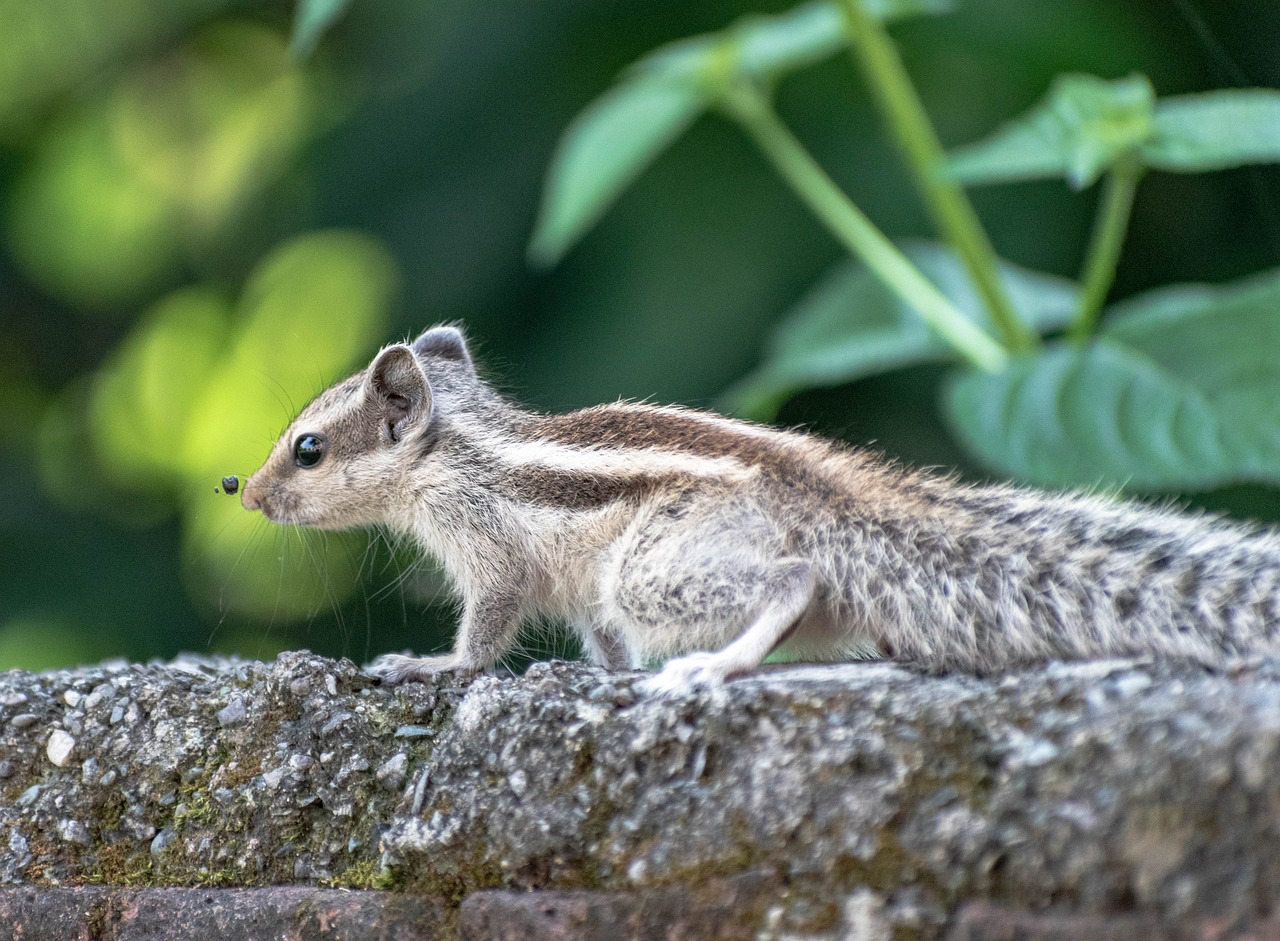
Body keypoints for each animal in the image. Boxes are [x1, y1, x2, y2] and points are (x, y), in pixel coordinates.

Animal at [238, 323, 1280, 691]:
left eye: (307, 447)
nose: (240, 492)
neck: (453, 448)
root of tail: (829, 497)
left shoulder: (489, 549)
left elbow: (485, 630)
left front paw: (428, 665)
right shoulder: (581, 593)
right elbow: (599, 639)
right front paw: (604, 675)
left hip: (660, 570)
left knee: (791, 578)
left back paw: (721, 663)